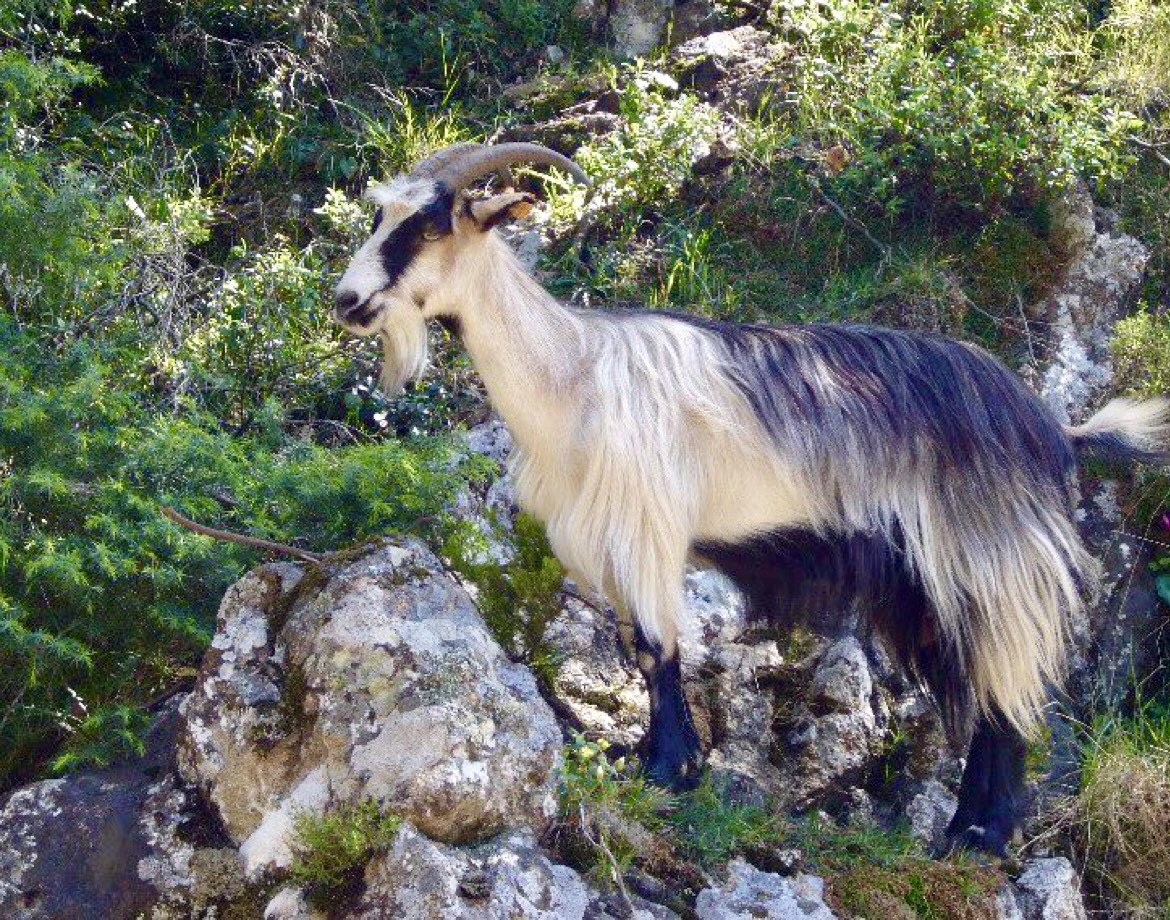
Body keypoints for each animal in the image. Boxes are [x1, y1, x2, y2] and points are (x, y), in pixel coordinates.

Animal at [329, 141, 1170, 852]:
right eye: (377, 216)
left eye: (430, 223)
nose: (347, 299)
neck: (573, 378)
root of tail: (1055, 430)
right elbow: (639, 647)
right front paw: (656, 757)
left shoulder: (647, 528)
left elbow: (658, 648)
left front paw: (668, 769)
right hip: (928, 585)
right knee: (985, 686)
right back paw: (971, 828)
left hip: (993, 561)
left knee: (1006, 692)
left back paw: (980, 836)